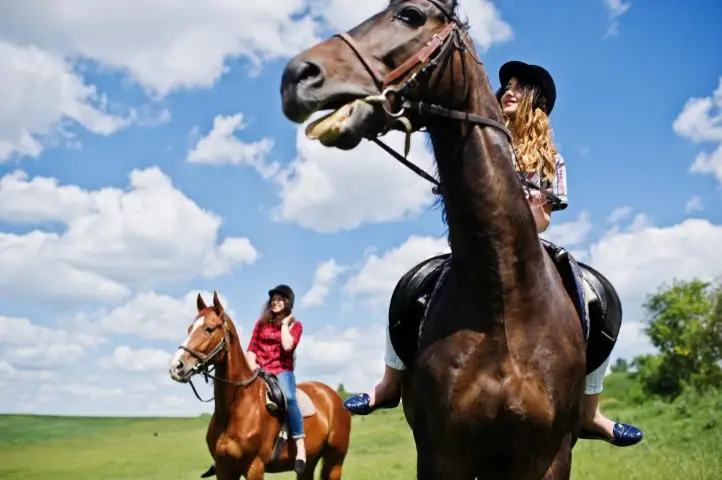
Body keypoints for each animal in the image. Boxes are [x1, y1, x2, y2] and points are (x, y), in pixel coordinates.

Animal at [169, 292, 348, 480]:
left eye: (209, 329)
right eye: (189, 329)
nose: (176, 366)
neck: (236, 407)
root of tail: (333, 396)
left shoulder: (254, 467)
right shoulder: (224, 468)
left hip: (335, 461)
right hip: (309, 463)